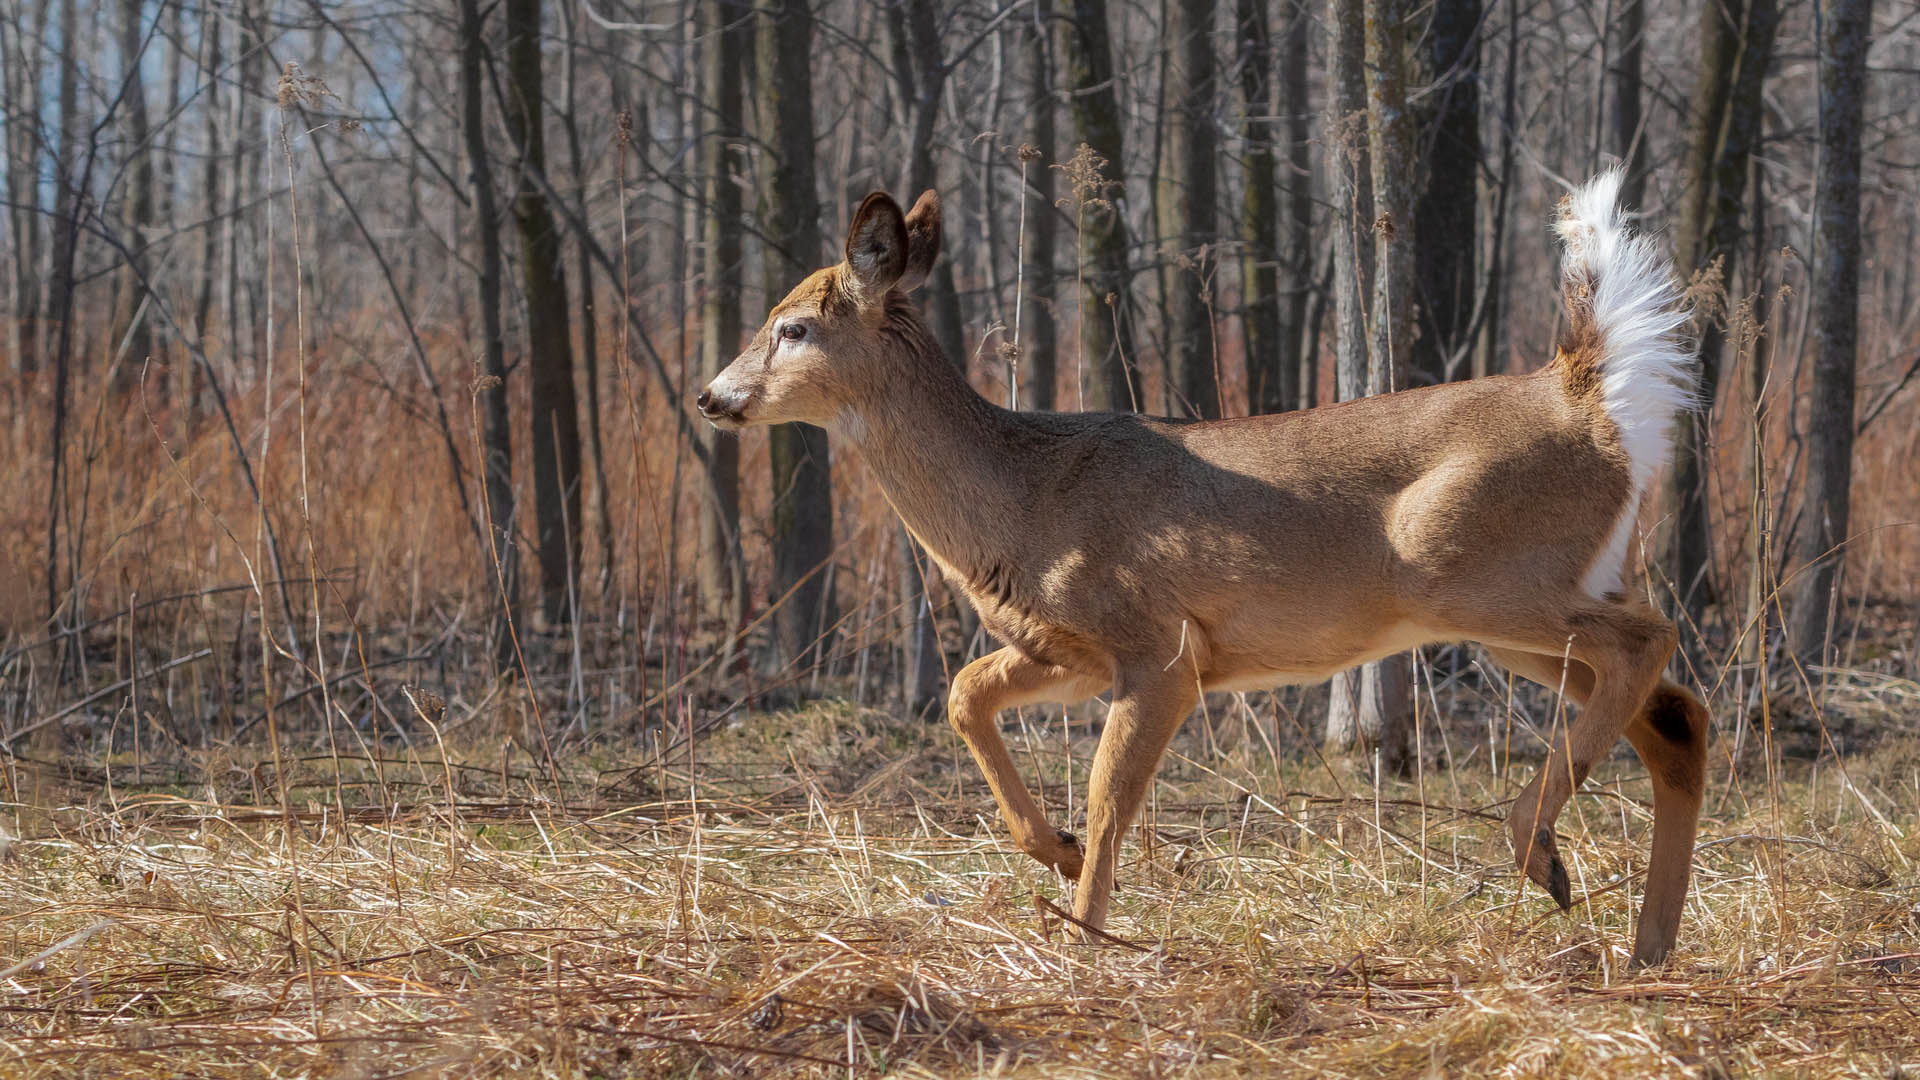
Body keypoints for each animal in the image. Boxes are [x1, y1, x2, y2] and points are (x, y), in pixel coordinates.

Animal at [702, 171, 1712, 960]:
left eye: (792, 327)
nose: (713, 396)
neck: (1023, 497)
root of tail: (1588, 395)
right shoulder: (1066, 649)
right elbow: (963, 694)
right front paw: (1056, 852)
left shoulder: (1161, 647)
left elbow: (1110, 797)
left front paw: (1085, 934)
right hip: (1524, 609)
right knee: (1675, 716)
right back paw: (1647, 946)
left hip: (1477, 575)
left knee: (1652, 641)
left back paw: (1538, 849)